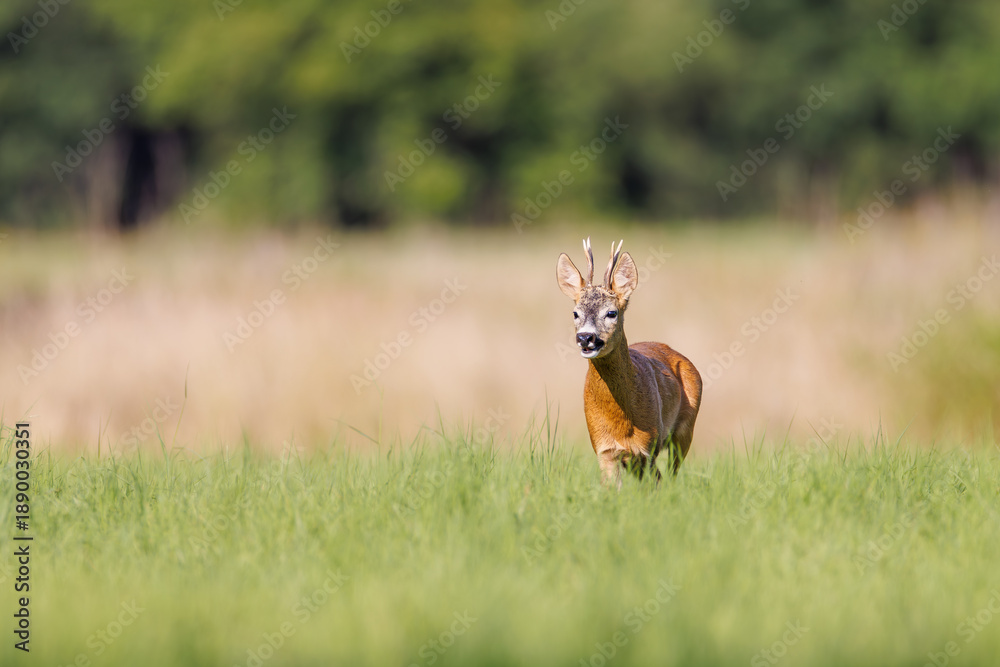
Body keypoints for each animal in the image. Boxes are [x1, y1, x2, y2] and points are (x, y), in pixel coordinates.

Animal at [556, 238, 702, 487]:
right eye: (575, 313)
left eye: (611, 313)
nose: (585, 337)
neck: (622, 420)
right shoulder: (603, 449)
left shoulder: (648, 447)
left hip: (685, 429)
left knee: (670, 475)